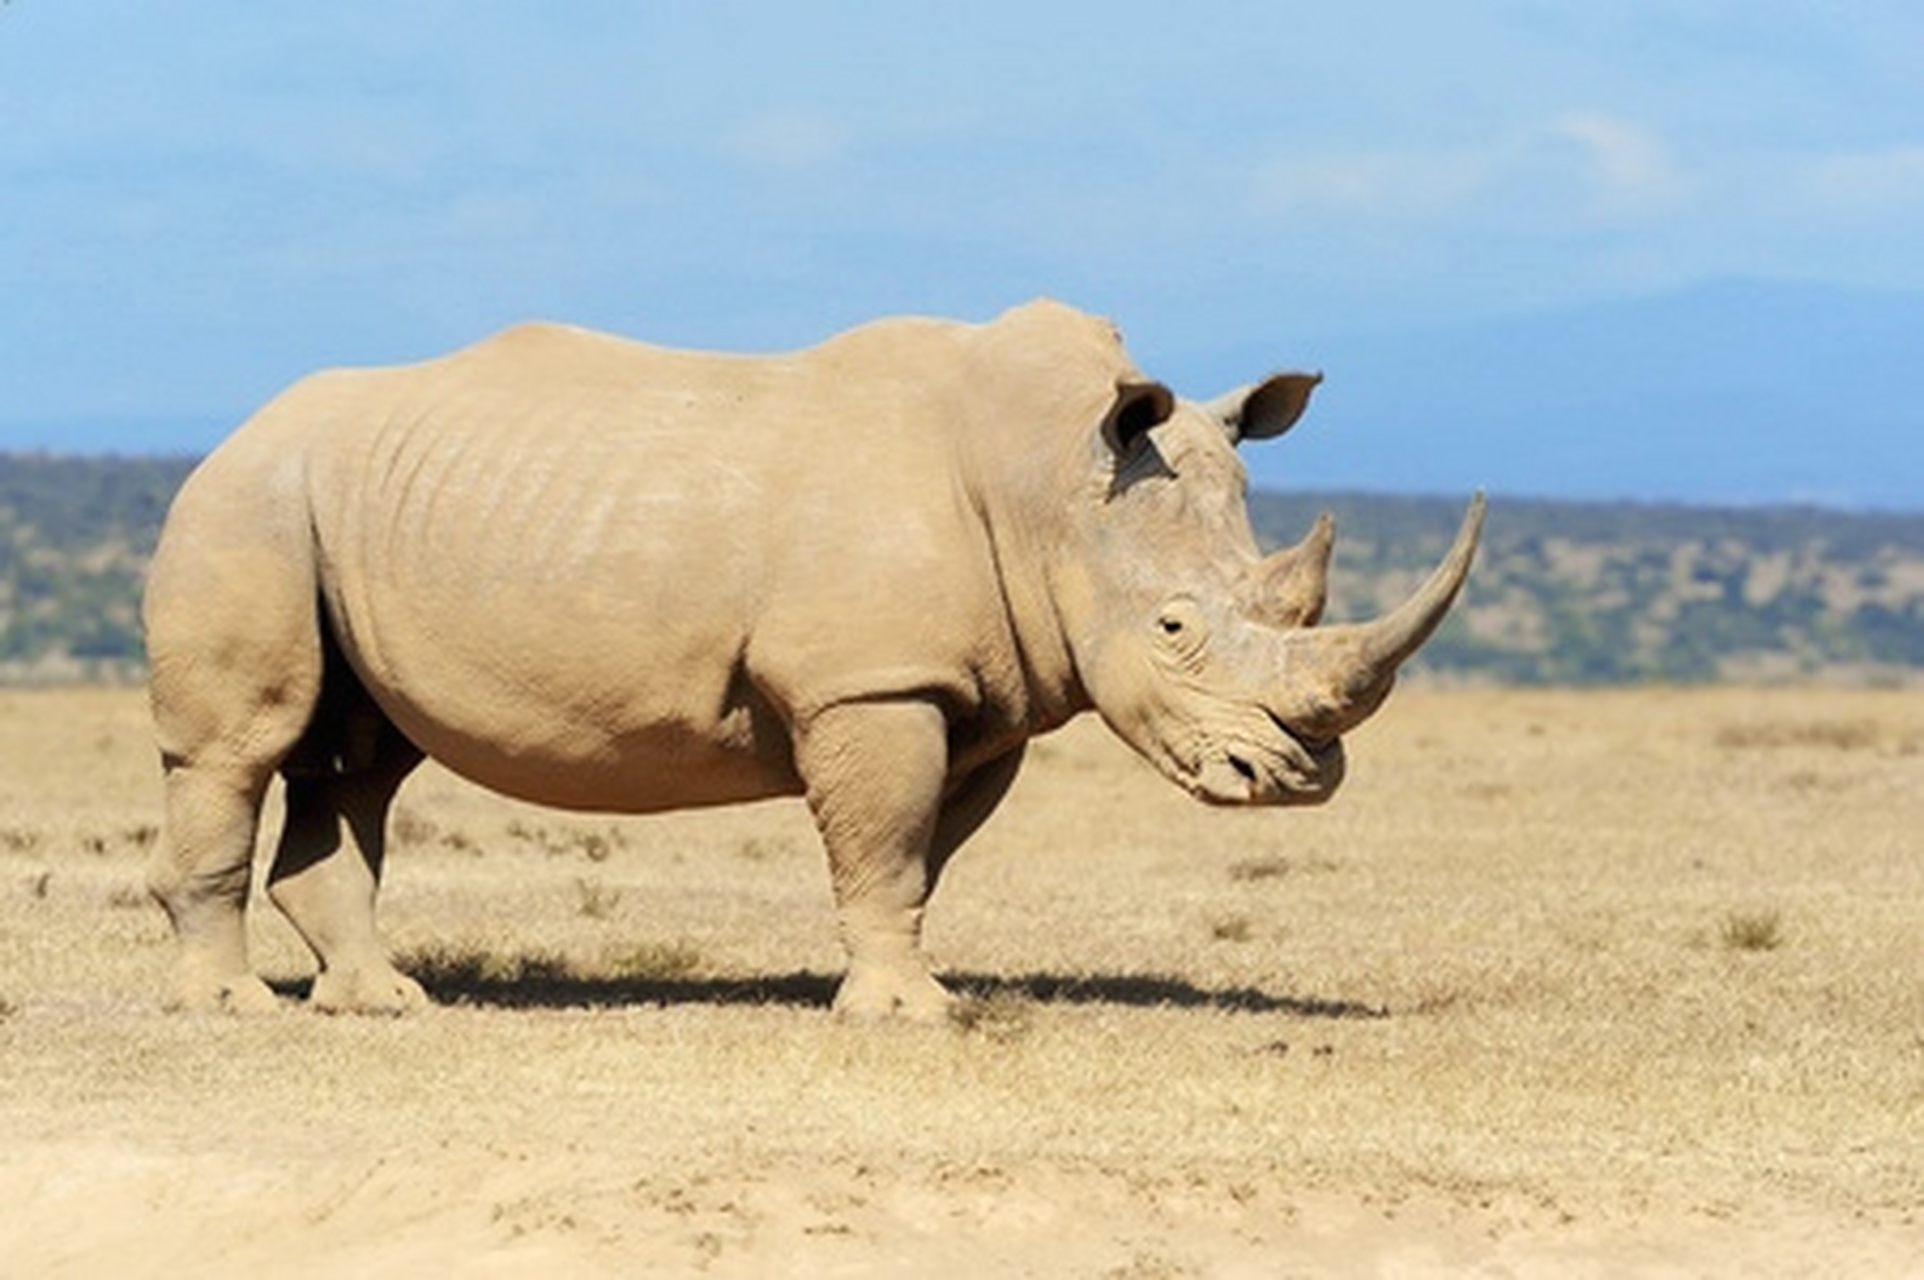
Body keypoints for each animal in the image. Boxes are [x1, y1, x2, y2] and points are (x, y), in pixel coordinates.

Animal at [142, 300, 1477, 1016]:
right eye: (1173, 628)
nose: (1293, 778)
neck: (1050, 477)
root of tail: (238, 427)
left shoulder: (975, 691)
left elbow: (919, 856)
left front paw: (903, 992)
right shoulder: (870, 679)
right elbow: (882, 840)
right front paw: (906, 1017)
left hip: (336, 508)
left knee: (362, 759)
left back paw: (381, 1000)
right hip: (247, 501)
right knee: (247, 744)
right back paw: (231, 1004)